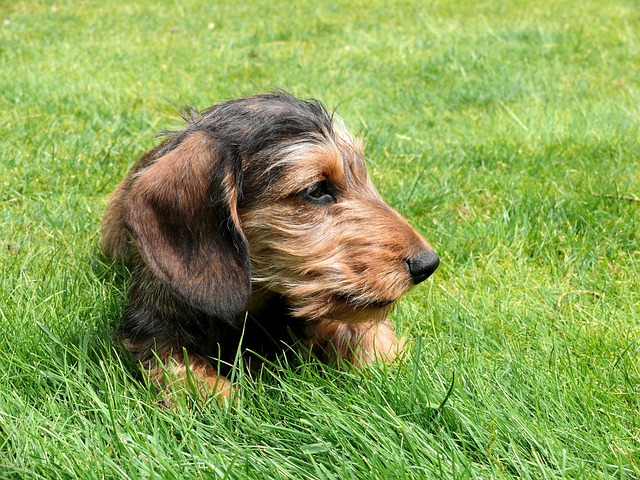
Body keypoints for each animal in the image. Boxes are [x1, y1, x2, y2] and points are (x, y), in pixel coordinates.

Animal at [101, 92, 440, 400]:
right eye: (317, 189)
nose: (428, 264)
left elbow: (360, 333)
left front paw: (382, 353)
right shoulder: (150, 333)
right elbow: (184, 373)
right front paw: (223, 398)